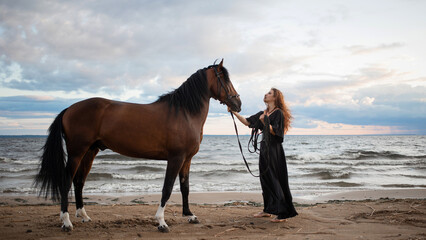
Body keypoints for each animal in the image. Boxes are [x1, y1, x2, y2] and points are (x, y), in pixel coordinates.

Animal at [35, 59, 241, 232]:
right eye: (224, 79)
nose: (237, 103)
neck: (184, 113)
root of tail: (69, 109)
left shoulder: (186, 159)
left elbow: (185, 187)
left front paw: (190, 215)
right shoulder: (175, 158)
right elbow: (167, 188)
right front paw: (161, 222)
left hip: (89, 152)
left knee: (79, 182)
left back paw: (84, 216)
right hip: (77, 152)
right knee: (67, 181)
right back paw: (66, 222)